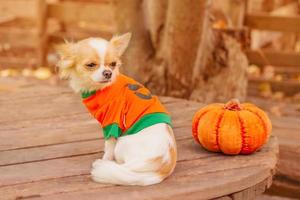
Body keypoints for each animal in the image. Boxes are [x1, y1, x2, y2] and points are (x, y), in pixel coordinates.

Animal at [56, 32, 177, 186]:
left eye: (113, 64)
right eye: (91, 65)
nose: (108, 73)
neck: (100, 89)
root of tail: (162, 167)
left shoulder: (112, 121)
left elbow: (109, 147)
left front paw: (105, 159)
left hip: (123, 143)